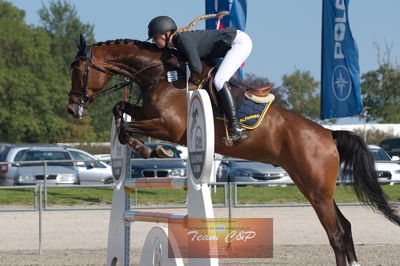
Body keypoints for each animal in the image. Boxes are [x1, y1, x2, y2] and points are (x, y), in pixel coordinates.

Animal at [67, 35, 398, 266]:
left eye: (78, 69)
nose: (72, 110)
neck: (161, 74)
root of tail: (328, 134)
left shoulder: (170, 127)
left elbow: (128, 125)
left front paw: (155, 152)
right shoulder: (150, 116)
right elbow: (120, 108)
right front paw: (148, 149)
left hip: (317, 190)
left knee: (337, 233)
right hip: (312, 188)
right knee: (344, 227)